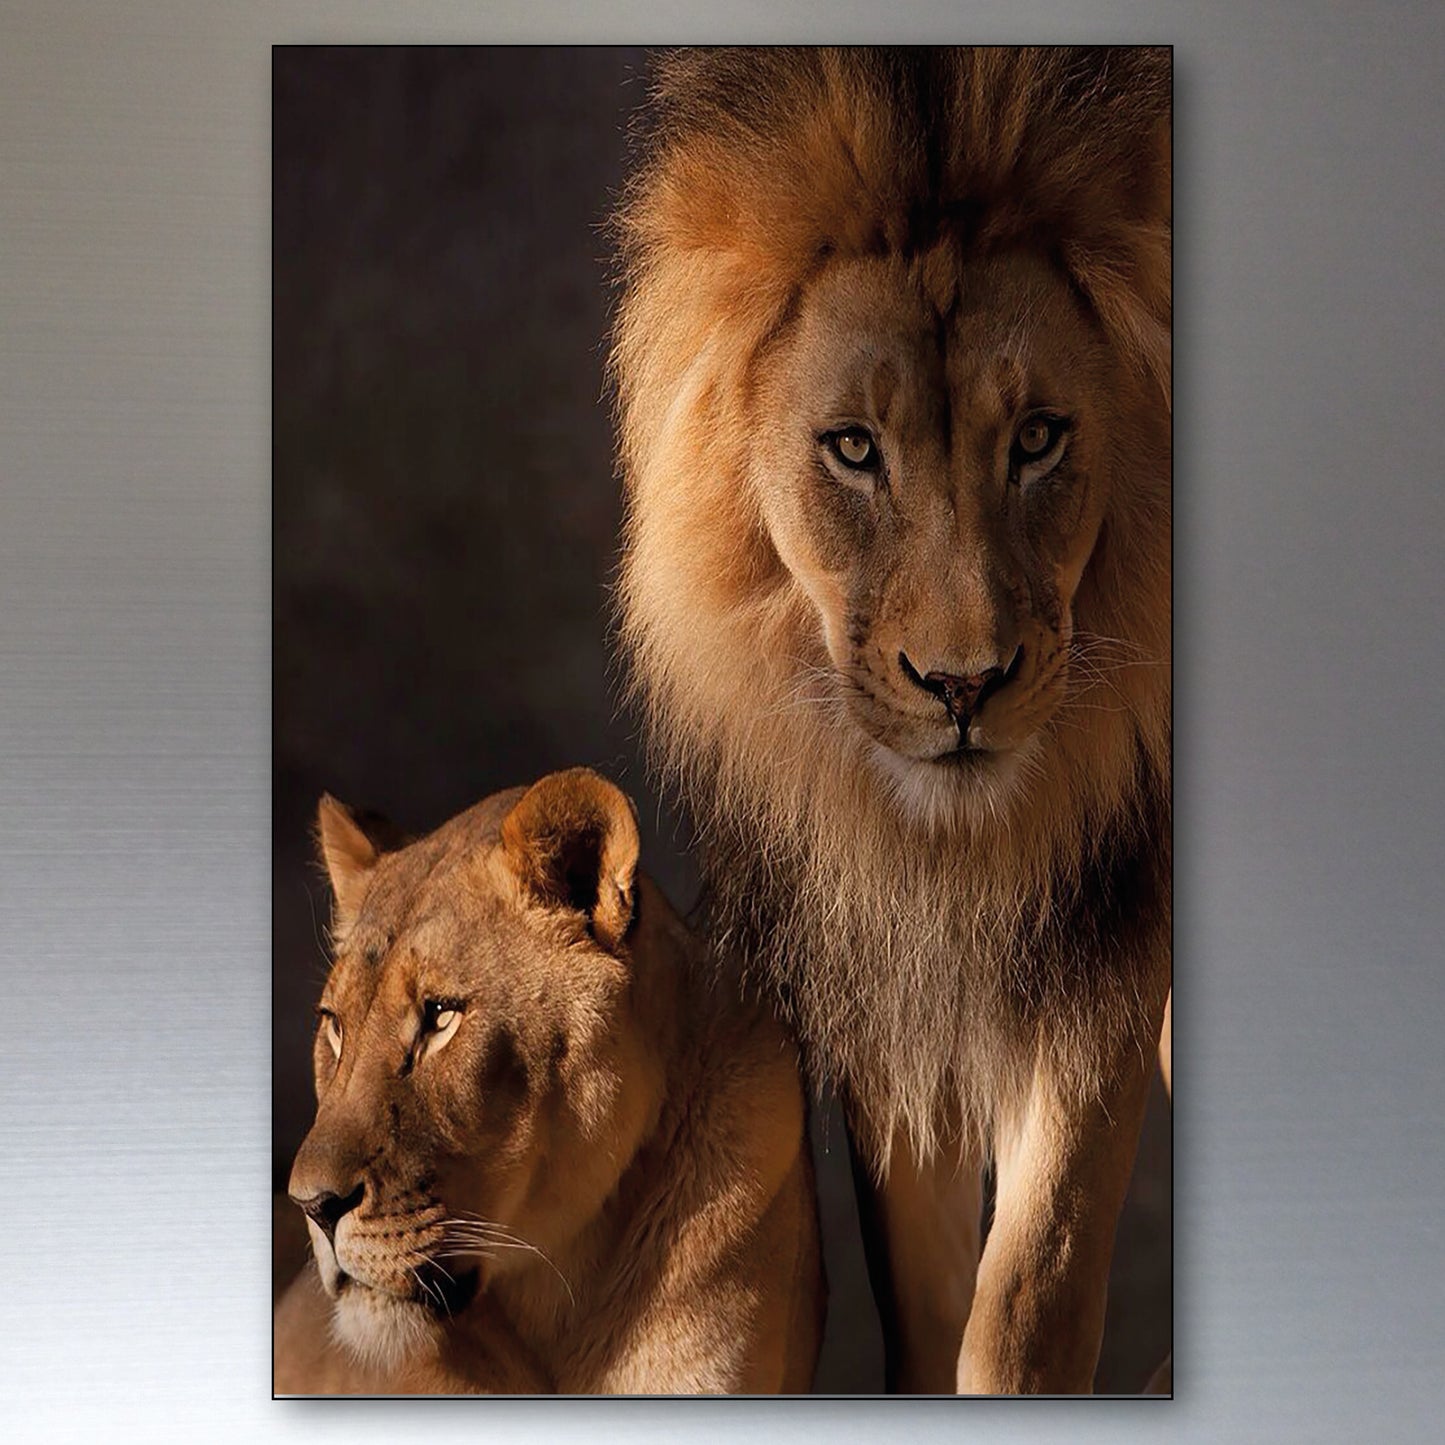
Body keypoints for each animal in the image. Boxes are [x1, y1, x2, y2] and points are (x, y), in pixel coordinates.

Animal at [611, 47, 1171, 1393]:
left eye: (1038, 437)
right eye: (853, 449)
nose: (961, 684)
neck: (964, 847)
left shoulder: (1111, 938)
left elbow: (1028, 1294)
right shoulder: (885, 960)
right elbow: (922, 1288)